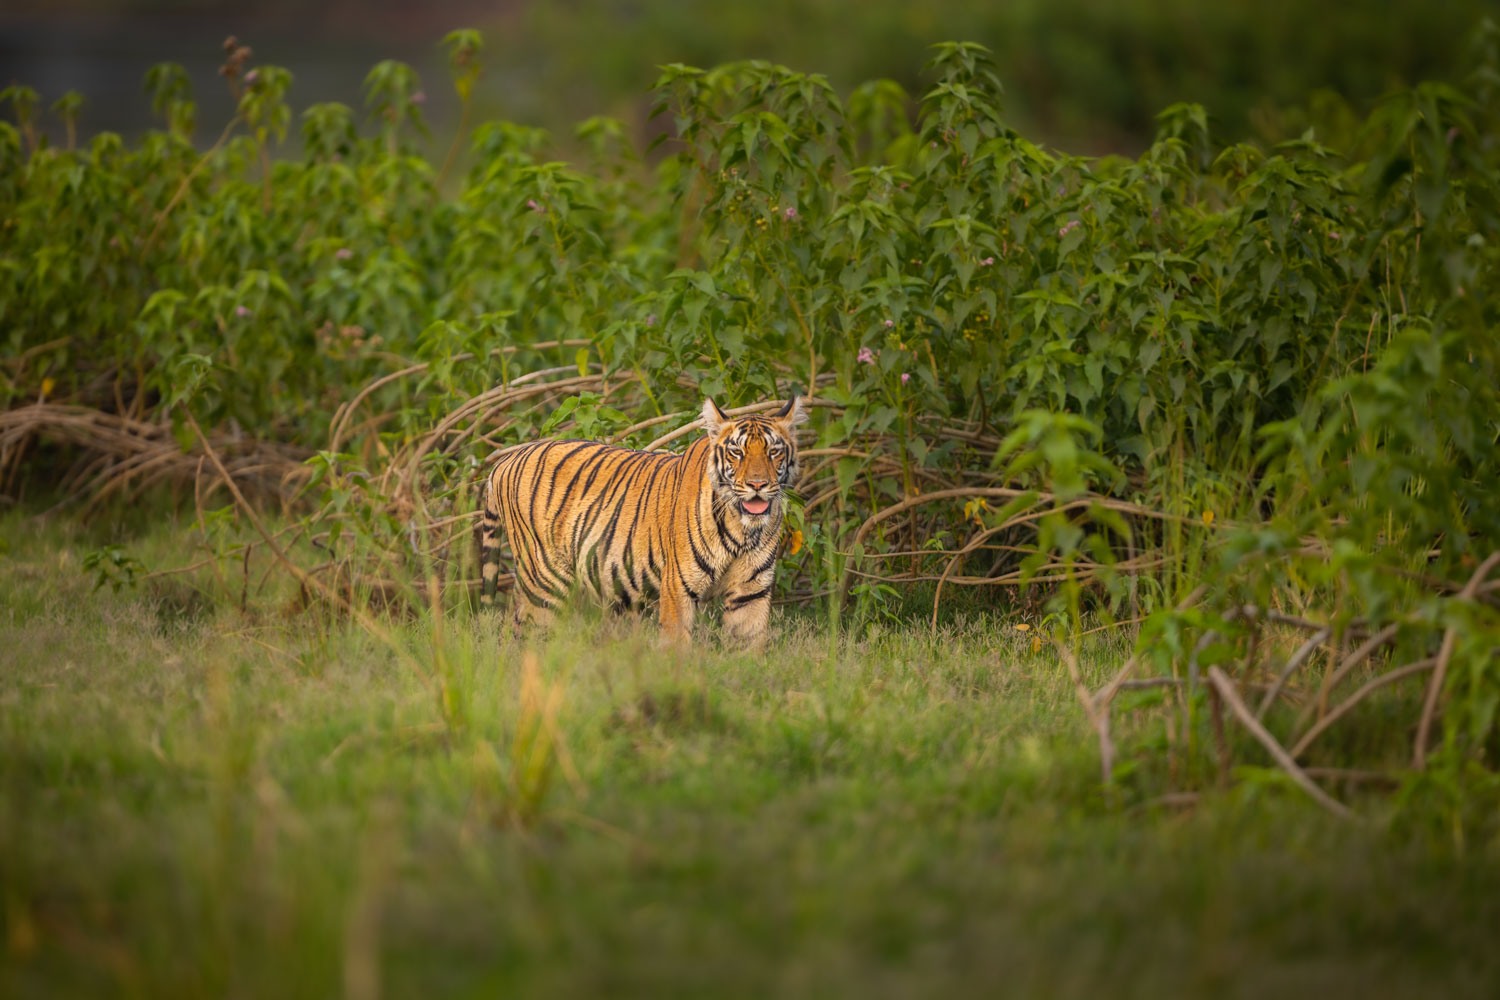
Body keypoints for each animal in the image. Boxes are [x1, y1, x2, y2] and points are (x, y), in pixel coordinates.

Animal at [478, 395, 807, 645]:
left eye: (773, 451)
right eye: (736, 452)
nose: (757, 484)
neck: (742, 528)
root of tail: (504, 461)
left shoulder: (751, 593)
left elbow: (748, 648)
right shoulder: (678, 587)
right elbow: (677, 648)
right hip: (545, 580)